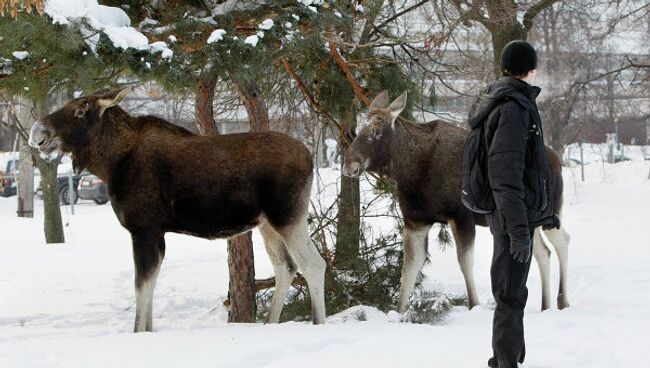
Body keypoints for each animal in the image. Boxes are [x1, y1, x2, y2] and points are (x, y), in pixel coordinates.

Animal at [27, 87, 326, 332]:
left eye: (80, 109)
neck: (111, 164)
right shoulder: (155, 234)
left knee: (313, 264)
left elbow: (141, 287)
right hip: (267, 223)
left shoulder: (144, 229)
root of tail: (311, 157)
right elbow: (149, 286)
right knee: (285, 267)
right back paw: (269, 324)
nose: (37, 132)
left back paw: (317, 323)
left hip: (288, 216)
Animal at [342, 90, 568, 312]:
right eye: (358, 129)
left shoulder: (461, 215)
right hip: (528, 221)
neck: (410, 171)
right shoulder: (415, 221)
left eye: (378, 130)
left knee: (562, 241)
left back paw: (562, 301)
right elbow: (408, 270)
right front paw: (400, 312)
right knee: (543, 252)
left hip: (551, 214)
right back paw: (546, 305)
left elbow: (465, 263)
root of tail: (558, 161)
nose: (349, 164)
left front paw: (474, 305)